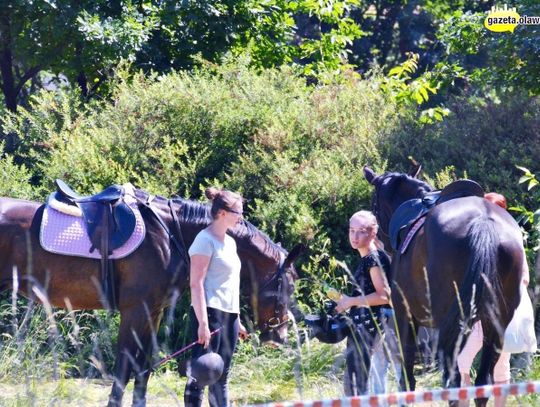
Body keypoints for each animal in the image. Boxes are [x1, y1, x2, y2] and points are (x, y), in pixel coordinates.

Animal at [0, 189, 304, 407]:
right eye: (287, 285)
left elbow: (143, 368)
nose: (279, 337)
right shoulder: (135, 310)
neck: (170, 235)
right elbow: (125, 367)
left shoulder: (152, 312)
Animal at [362, 167, 524, 407]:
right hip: (496, 324)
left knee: (453, 381)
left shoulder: (404, 315)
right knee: (483, 382)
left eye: (374, 206)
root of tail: (483, 223)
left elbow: (407, 377)